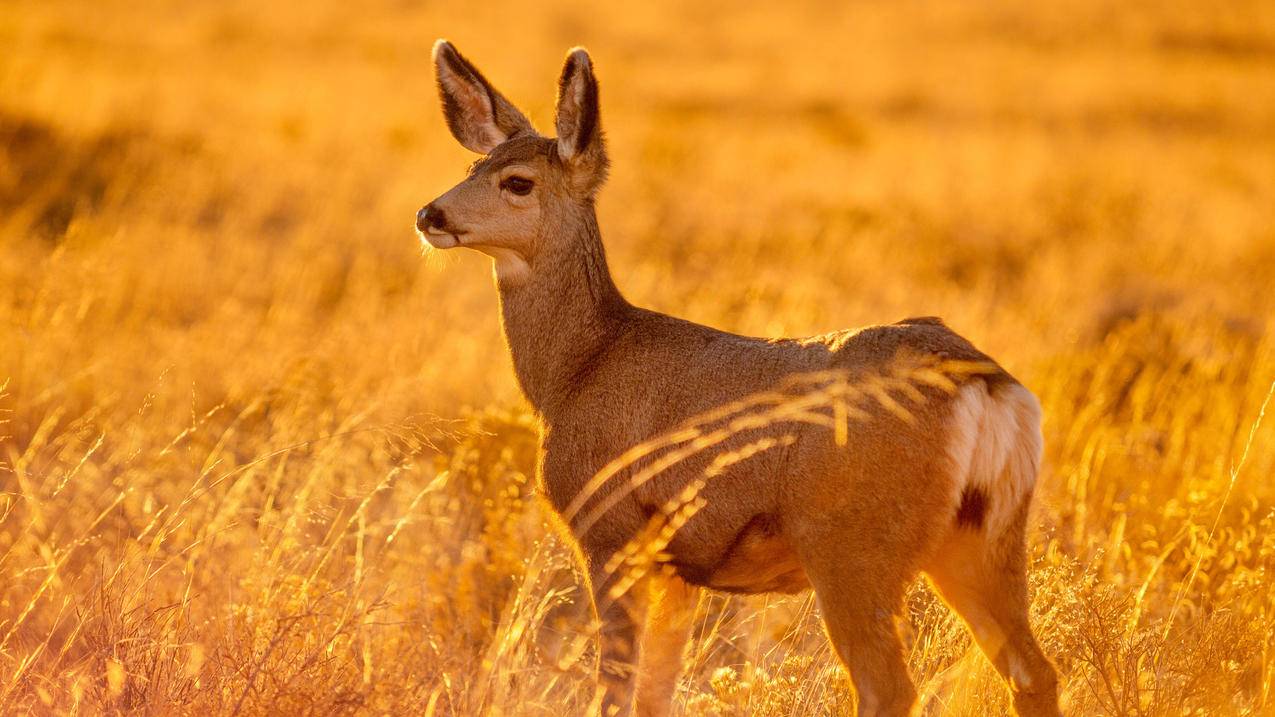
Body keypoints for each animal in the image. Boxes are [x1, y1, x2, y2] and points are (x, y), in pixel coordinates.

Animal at [413, 40, 1060, 714]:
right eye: (472, 167)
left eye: (518, 182)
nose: (430, 214)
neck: (578, 368)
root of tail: (983, 381)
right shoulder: (677, 566)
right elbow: (656, 692)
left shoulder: (611, 529)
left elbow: (614, 687)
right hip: (983, 534)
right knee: (1033, 673)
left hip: (853, 542)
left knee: (890, 685)